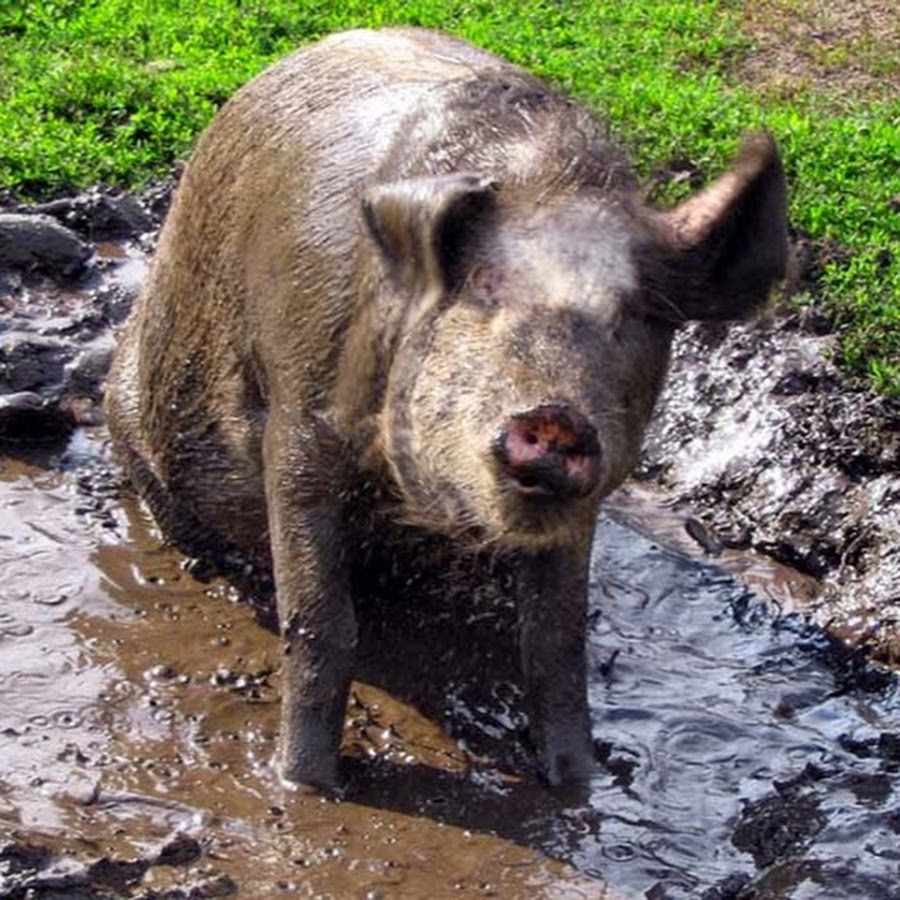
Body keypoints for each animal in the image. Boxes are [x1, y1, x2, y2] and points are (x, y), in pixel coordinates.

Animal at [105, 27, 787, 790]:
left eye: (640, 314)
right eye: (485, 283)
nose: (558, 416)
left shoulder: (580, 510)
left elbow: (556, 642)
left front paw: (580, 785)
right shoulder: (297, 421)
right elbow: (320, 620)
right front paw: (304, 786)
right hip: (131, 414)